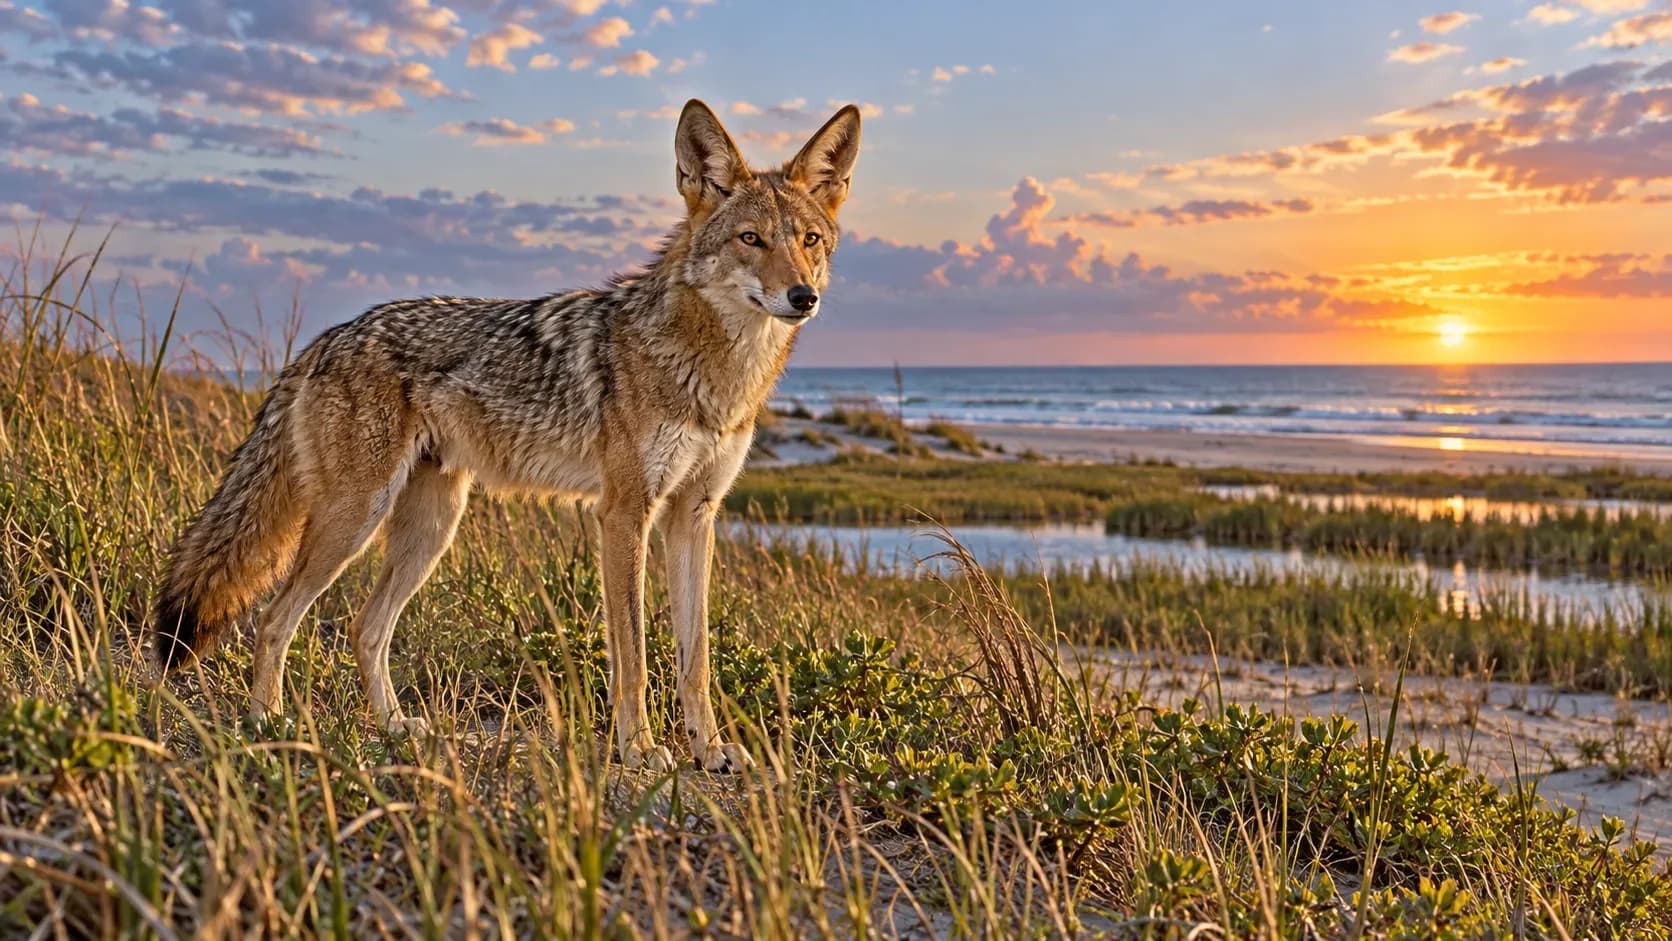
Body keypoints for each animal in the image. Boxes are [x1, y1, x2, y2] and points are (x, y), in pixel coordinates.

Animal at [153, 100, 861, 772]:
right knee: (274, 620)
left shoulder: (694, 515)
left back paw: (393, 728)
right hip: (354, 522)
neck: (713, 372)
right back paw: (267, 725)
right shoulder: (625, 513)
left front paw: (708, 749)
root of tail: (328, 337)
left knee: (363, 628)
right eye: (751, 239)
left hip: (431, 529)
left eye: (809, 240)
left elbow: (697, 660)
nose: (803, 297)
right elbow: (633, 657)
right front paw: (637, 747)